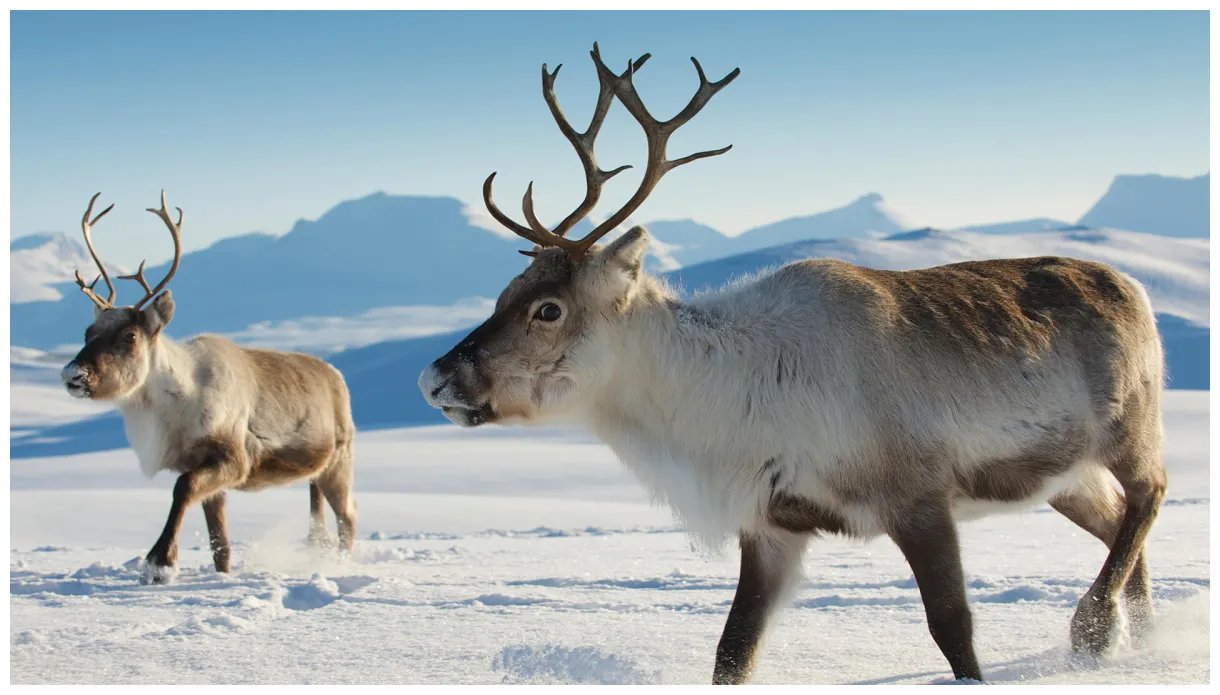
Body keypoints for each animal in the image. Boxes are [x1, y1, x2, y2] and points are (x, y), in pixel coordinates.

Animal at [60, 191, 358, 585]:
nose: (72, 374)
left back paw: (340, 566)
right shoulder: (203, 468)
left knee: (349, 518)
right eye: (88, 332)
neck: (176, 405)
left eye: (130, 336)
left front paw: (159, 563)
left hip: (340, 461)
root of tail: (337, 376)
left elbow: (182, 488)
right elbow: (220, 542)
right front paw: (219, 574)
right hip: (318, 472)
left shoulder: (233, 459)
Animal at [418, 44, 1167, 684]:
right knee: (1117, 524)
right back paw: (1141, 638)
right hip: (1063, 476)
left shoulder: (917, 496)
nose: (434, 377)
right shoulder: (773, 523)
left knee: (1148, 495)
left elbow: (953, 630)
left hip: (1129, 427)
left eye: (548, 309)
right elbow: (732, 650)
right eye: (503, 293)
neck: (722, 401)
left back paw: (1095, 628)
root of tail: (1133, 285)